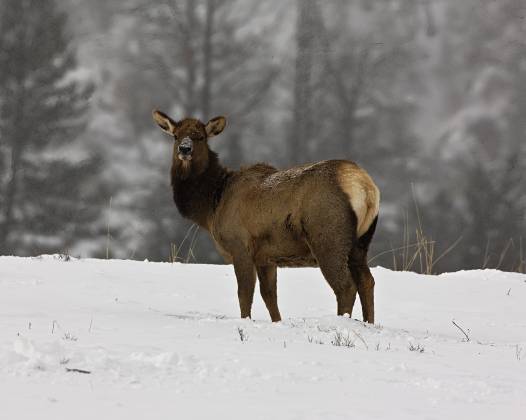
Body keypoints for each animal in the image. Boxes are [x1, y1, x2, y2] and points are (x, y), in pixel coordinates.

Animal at [153, 110, 380, 324]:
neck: (212, 204)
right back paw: (369, 323)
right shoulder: (265, 257)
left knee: (346, 286)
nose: (184, 149)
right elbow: (270, 296)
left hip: (328, 238)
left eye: (200, 137)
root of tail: (366, 187)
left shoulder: (239, 246)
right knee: (367, 281)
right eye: (176, 136)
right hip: (360, 242)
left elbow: (245, 294)